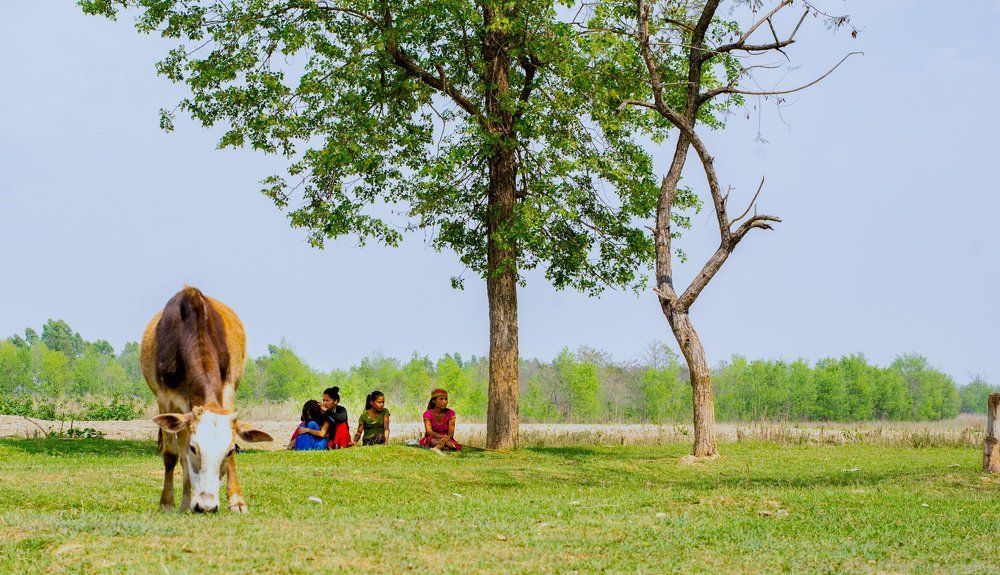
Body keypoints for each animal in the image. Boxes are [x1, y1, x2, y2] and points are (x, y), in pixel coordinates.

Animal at [140, 286, 272, 513]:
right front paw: (167, 503)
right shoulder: (165, 399)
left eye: (228, 451)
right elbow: (172, 455)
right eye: (195, 448)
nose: (206, 506)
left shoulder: (227, 390)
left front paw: (237, 501)